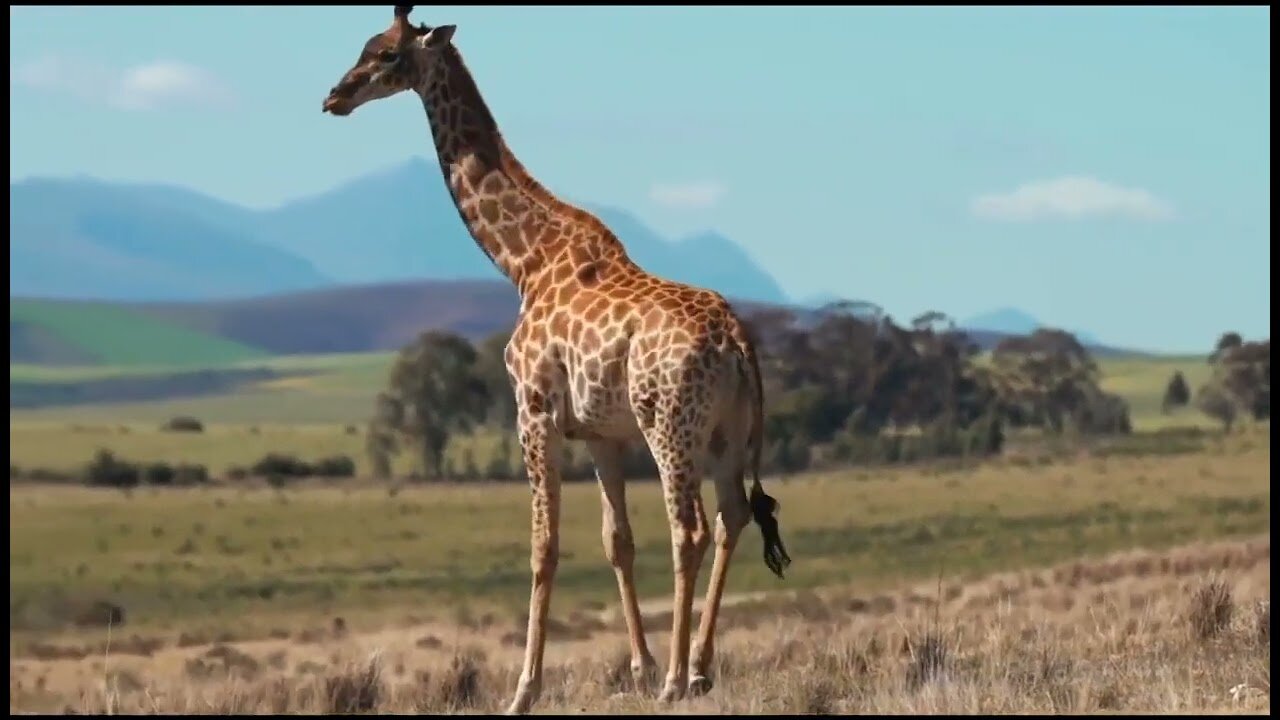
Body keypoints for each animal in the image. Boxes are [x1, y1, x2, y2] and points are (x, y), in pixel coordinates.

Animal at [325, 7, 788, 712]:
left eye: (386, 55)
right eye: (367, 46)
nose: (334, 97)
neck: (523, 259)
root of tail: (737, 341)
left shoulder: (534, 410)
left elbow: (544, 546)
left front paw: (525, 688)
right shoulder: (601, 432)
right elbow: (616, 542)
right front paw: (638, 669)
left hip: (670, 425)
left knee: (690, 529)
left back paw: (679, 681)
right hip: (725, 433)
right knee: (732, 516)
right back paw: (698, 670)